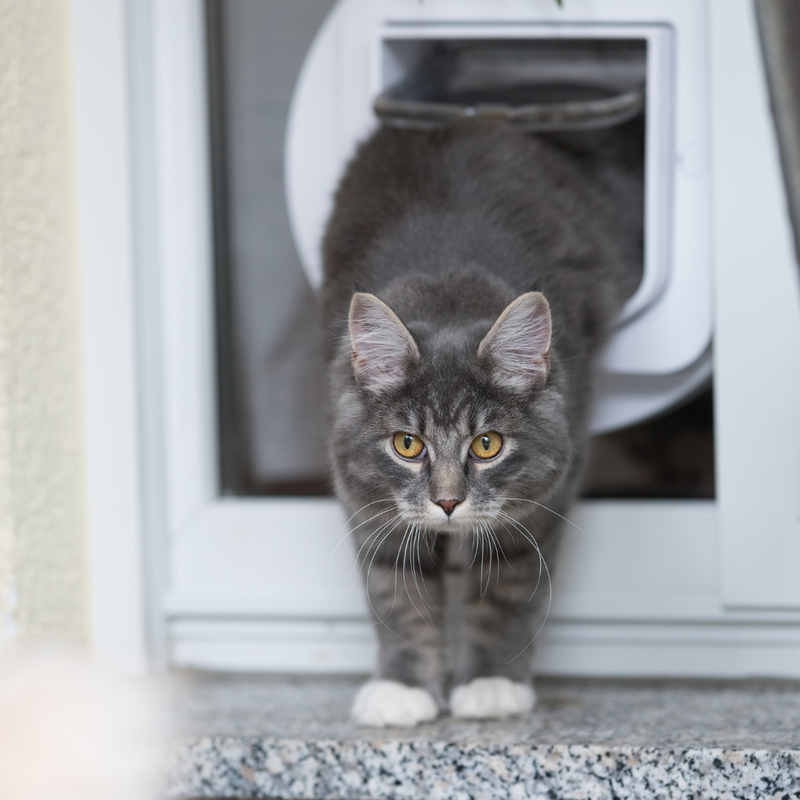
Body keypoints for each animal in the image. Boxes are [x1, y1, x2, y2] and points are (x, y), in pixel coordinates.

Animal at [322, 117, 640, 724]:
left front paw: (491, 684)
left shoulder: (536, 509)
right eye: (407, 444)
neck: (448, 291)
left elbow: (503, 594)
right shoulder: (370, 507)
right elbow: (397, 595)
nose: (448, 502)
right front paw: (402, 689)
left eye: (487, 445)